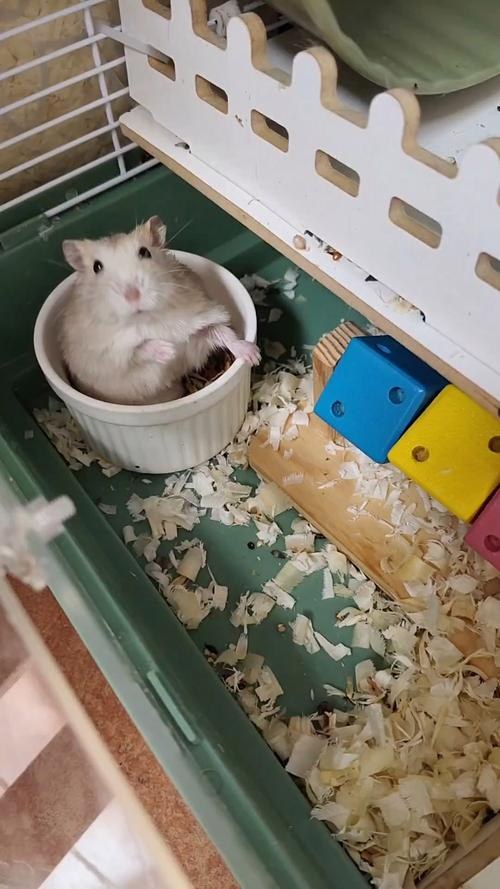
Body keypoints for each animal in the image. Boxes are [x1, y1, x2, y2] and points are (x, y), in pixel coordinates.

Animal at [59, 216, 260, 405]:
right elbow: (139, 349)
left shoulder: (198, 326)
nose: (133, 295)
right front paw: (169, 351)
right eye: (96, 267)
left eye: (145, 252)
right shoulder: (110, 356)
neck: (150, 318)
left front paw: (254, 356)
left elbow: (222, 332)